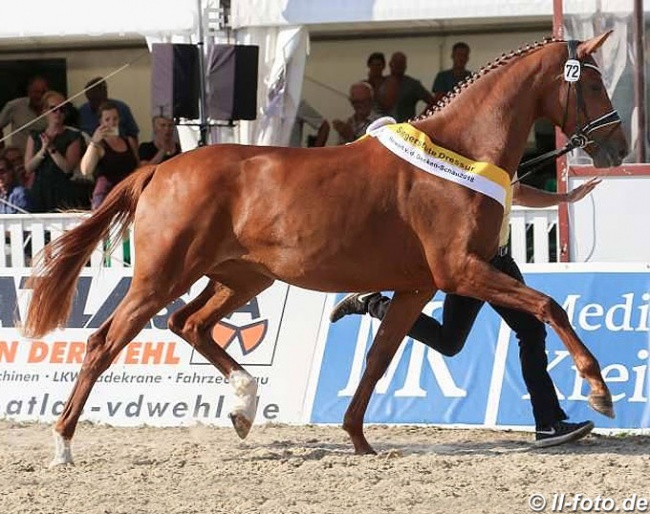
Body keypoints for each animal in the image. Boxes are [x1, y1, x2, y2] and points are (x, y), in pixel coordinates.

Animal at [24, 33, 624, 464]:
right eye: (593, 85)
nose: (617, 146)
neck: (460, 154)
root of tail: (159, 169)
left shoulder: (418, 287)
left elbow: (379, 359)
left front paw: (358, 439)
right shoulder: (460, 271)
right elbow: (549, 305)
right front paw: (598, 390)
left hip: (243, 277)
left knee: (188, 323)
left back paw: (244, 404)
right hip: (161, 276)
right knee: (104, 341)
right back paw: (63, 444)